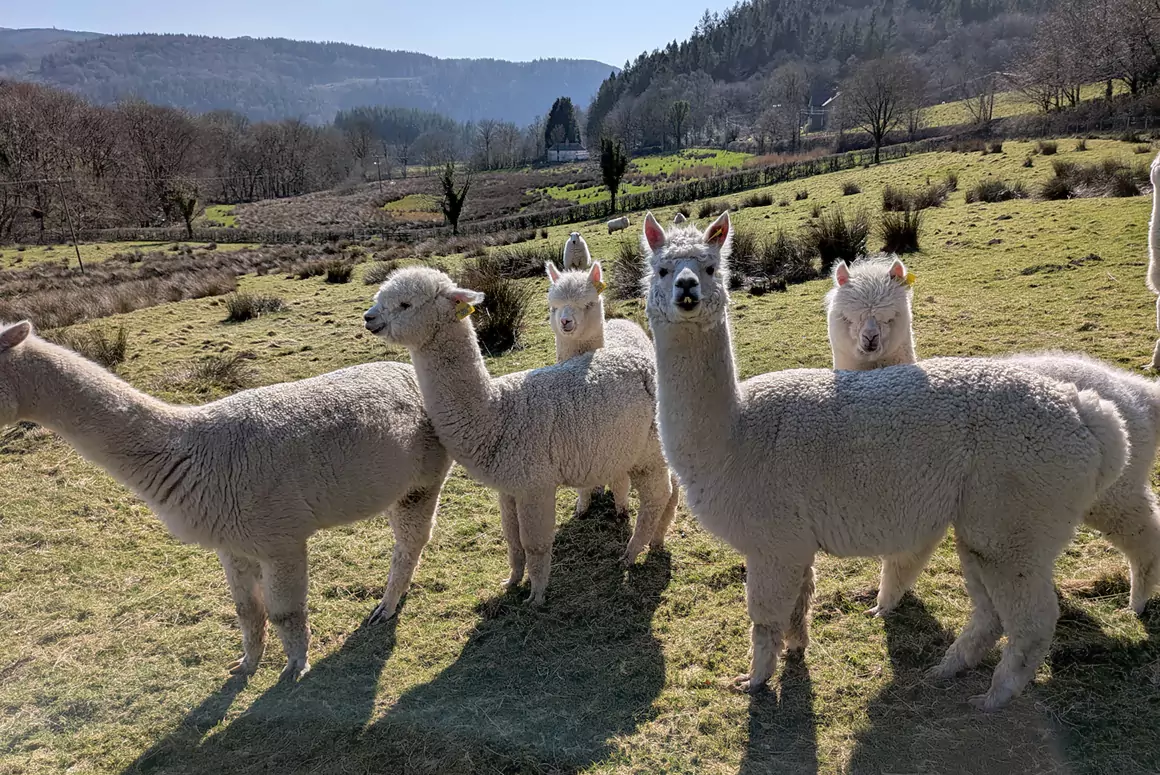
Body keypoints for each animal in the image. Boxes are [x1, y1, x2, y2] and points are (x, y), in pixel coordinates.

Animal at [0, 321, 451, 680]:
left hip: (425, 476)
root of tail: (409, 370)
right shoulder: (232, 542)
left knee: (412, 539)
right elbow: (247, 612)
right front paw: (245, 665)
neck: (191, 451)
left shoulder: (280, 537)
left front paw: (295, 668)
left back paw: (386, 607)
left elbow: (285, 611)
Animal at [544, 259, 678, 523]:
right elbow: (584, 485)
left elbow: (620, 482)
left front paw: (621, 509)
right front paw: (583, 506)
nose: (566, 322)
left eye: (588, 304)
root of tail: (619, 321)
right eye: (554, 307)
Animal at [825, 257, 1160, 615]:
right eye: (848, 316)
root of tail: (1139, 393)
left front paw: (882, 606)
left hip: (1114, 489)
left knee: (1143, 533)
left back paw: (1136, 603)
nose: (870, 340)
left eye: (892, 316)